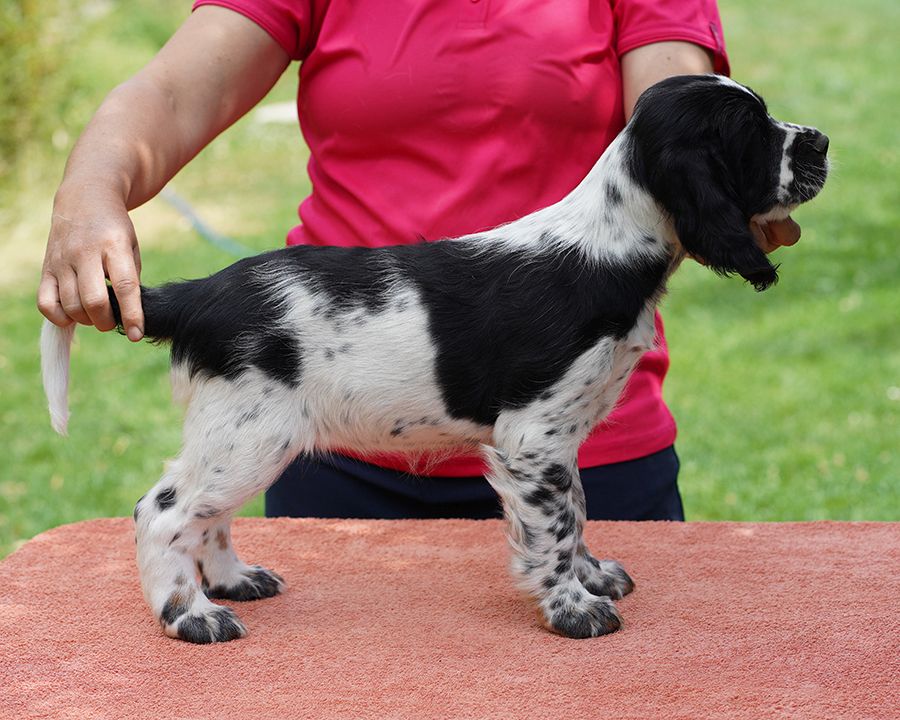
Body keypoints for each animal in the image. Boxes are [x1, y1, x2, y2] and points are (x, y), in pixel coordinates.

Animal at [42, 76, 828, 644]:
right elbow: (554, 527)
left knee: (207, 515)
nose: (821, 140)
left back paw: (232, 579)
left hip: (248, 436)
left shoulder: (559, 442)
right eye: (752, 131)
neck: (607, 246)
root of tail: (199, 293)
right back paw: (190, 614)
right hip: (249, 431)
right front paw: (573, 607)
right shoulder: (532, 437)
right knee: (162, 511)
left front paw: (592, 576)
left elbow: (576, 509)